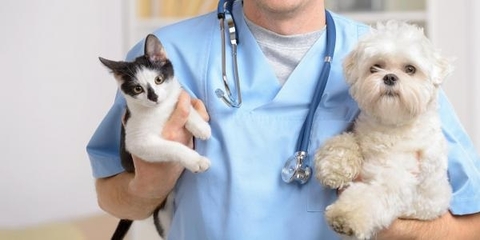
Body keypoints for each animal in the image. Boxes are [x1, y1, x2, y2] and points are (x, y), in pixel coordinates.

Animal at [99, 33, 210, 240]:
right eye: (137, 89)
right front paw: (196, 160)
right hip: (163, 215)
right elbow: (172, 147)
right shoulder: (136, 141)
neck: (159, 110)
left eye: (159, 79)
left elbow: (182, 103)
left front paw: (200, 126)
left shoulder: (176, 97)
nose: (154, 97)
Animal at [316, 21, 454, 240]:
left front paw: (345, 217)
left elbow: (368, 197)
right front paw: (334, 167)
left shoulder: (397, 180)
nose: (389, 77)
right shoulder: (360, 133)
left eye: (410, 69)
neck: (390, 126)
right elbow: (344, 141)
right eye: (375, 67)